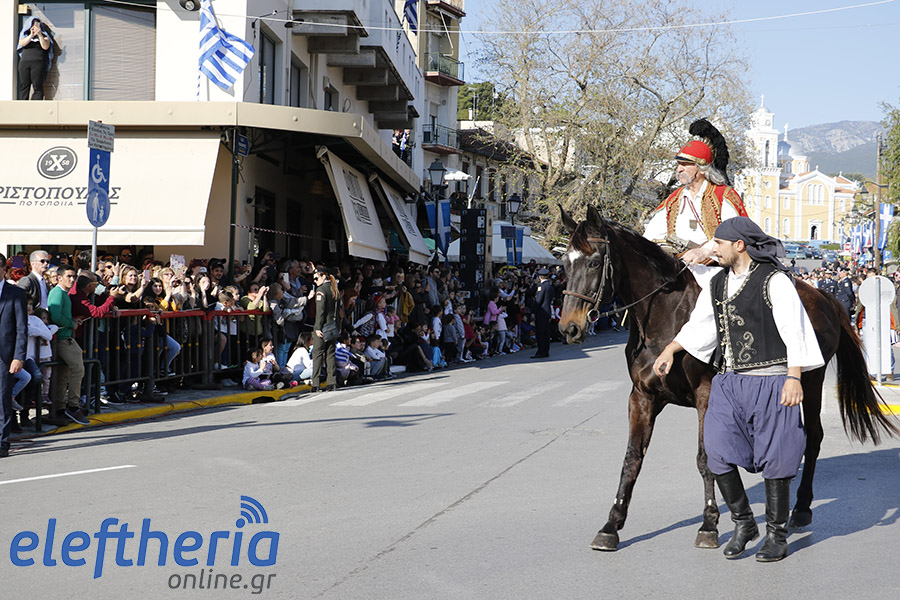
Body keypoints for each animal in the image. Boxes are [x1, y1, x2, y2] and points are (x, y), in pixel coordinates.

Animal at [558, 204, 899, 551]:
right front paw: (611, 525)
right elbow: (632, 458)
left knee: (813, 438)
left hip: (811, 380)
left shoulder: (706, 395)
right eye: (565, 263)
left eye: (594, 262)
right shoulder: (642, 397)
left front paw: (709, 524)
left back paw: (802, 508)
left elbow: (705, 458)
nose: (569, 327)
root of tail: (821, 297)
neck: (665, 318)